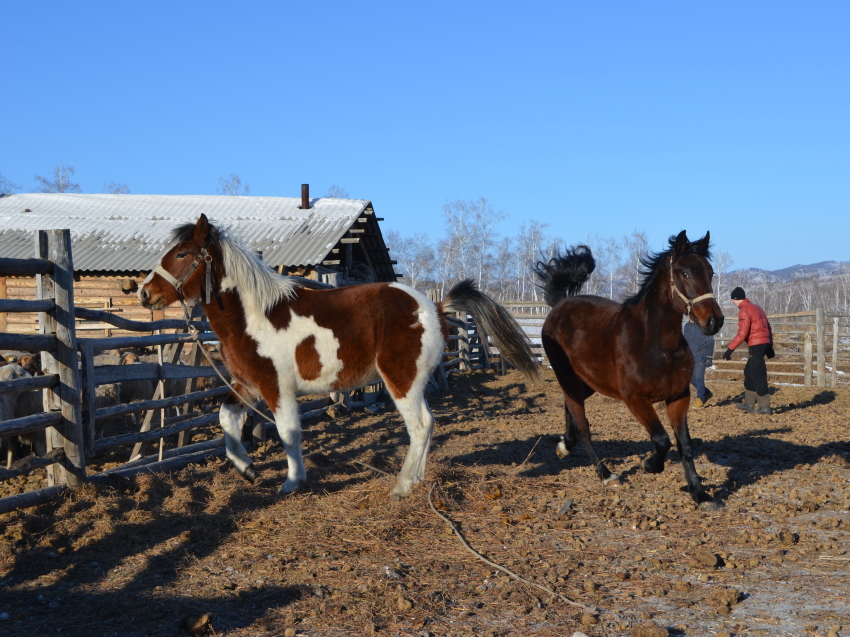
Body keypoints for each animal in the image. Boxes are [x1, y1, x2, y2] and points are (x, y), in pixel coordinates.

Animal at [137, 216, 536, 500]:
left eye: (182, 254)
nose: (143, 293)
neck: (253, 316)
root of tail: (434, 307)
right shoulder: (247, 385)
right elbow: (226, 419)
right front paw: (247, 468)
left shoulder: (276, 387)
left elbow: (288, 433)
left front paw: (293, 482)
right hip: (412, 382)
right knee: (428, 424)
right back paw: (417, 479)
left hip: (400, 380)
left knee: (420, 425)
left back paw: (401, 487)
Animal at [532, 231, 720, 504]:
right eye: (685, 273)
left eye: (710, 272)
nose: (715, 321)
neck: (658, 345)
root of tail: (560, 304)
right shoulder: (635, 398)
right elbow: (662, 440)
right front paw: (649, 465)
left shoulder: (678, 397)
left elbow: (684, 445)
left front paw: (699, 493)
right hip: (567, 377)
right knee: (583, 427)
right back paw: (606, 474)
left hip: (588, 381)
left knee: (570, 408)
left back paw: (564, 446)